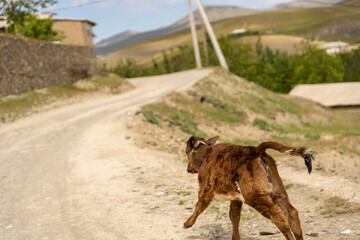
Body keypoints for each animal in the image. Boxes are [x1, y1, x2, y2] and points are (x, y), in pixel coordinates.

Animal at [184, 135, 314, 240]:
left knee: (277, 214)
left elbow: (199, 206)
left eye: (186, 152)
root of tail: (256, 150)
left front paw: (187, 224)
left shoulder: (205, 187)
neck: (206, 155)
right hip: (277, 191)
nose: (188, 168)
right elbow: (234, 216)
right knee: (292, 213)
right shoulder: (236, 197)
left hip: (254, 195)